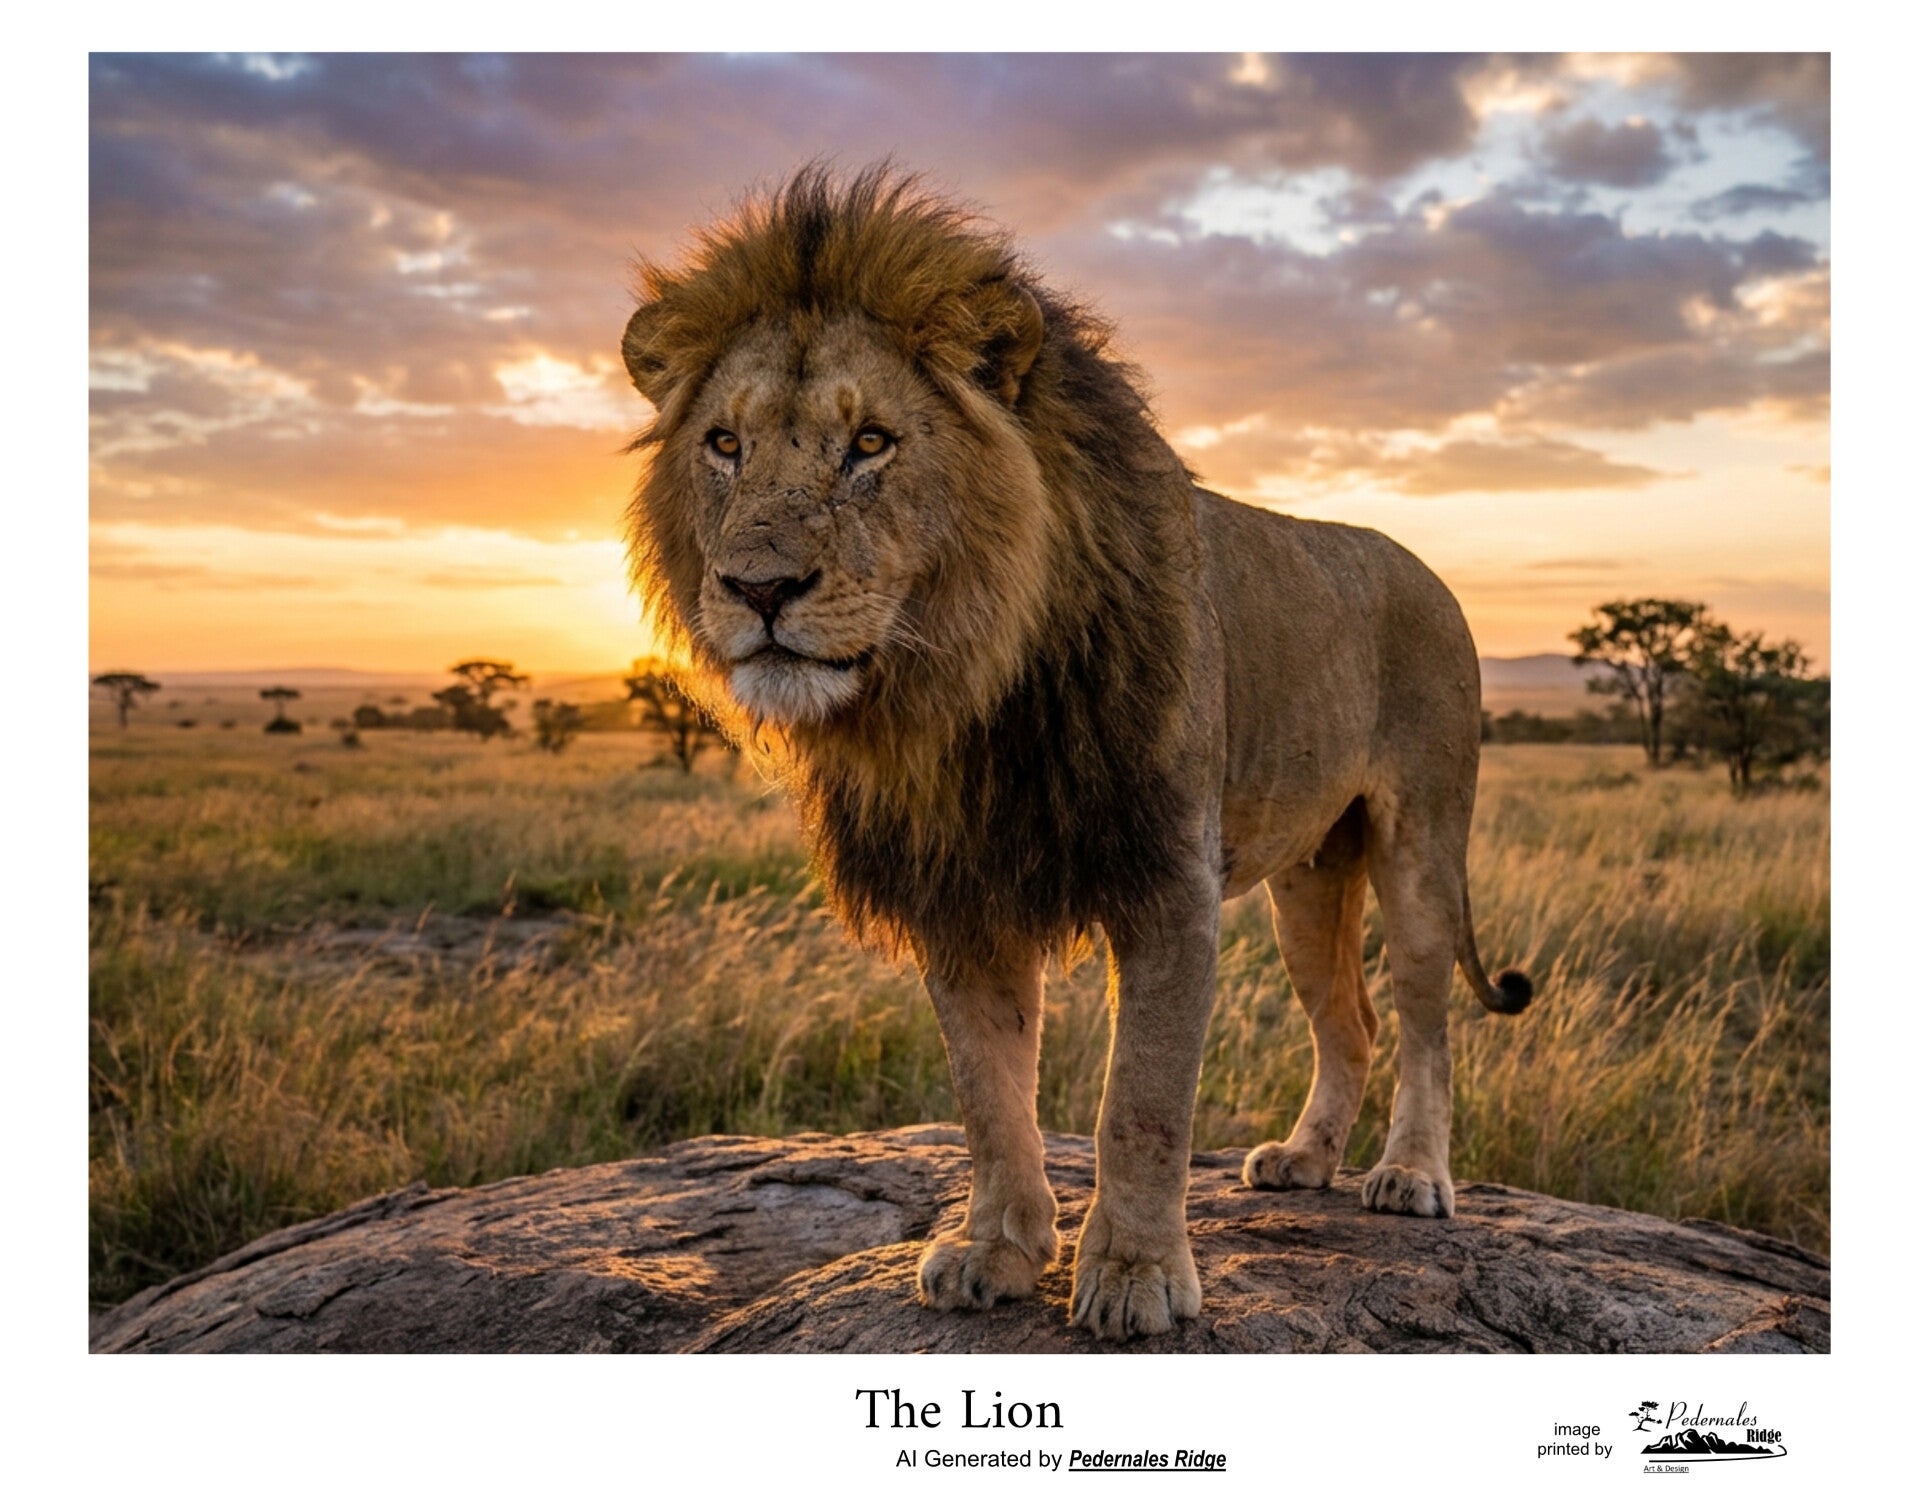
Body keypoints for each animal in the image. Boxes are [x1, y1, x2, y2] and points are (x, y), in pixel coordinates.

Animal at [620, 167, 1533, 1341]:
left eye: (868, 443)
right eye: (724, 445)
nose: (756, 588)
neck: (965, 691)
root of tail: (1428, 569)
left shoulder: (1166, 884)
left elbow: (1138, 1102)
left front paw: (1135, 1276)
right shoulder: (961, 897)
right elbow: (988, 1094)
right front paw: (994, 1252)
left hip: (1418, 838)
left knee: (1422, 1015)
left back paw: (1411, 1175)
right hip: (1306, 873)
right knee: (1350, 1018)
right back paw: (1302, 1160)